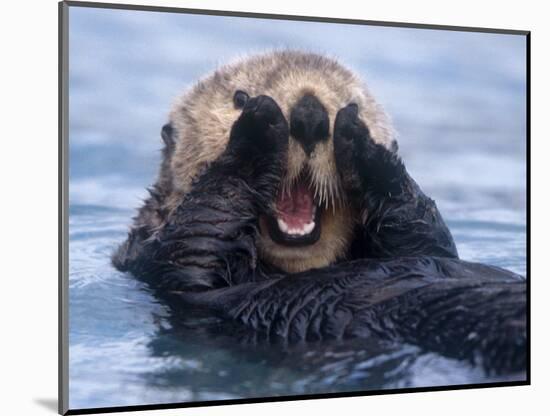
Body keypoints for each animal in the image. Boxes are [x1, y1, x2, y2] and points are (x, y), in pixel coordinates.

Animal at [114, 50, 528, 376]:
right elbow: (199, 233)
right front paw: (257, 129)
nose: (310, 114)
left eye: (353, 102)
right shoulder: (159, 261)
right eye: (239, 96)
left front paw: (363, 144)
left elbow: (426, 235)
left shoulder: (426, 245)